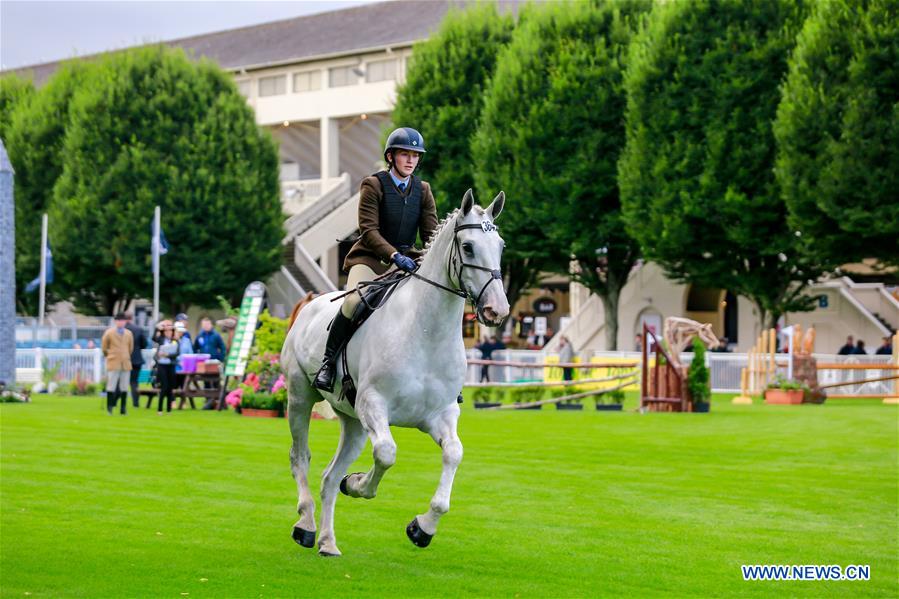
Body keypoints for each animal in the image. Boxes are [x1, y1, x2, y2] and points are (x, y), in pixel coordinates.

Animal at [281, 189, 510, 556]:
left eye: (500, 245)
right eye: (468, 247)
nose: (496, 310)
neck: (426, 332)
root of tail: (310, 304)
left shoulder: (440, 414)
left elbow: (454, 454)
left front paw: (422, 528)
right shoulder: (374, 404)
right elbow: (386, 454)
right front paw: (357, 484)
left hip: (353, 422)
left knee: (329, 477)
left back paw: (328, 542)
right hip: (301, 398)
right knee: (300, 457)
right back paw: (306, 525)